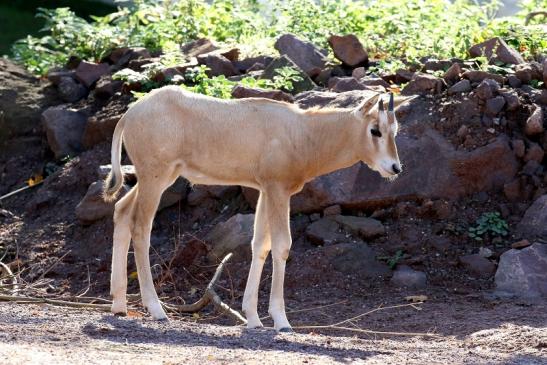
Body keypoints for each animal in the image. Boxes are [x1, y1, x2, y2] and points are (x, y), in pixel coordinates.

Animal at [103, 85, 412, 330]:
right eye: (375, 130)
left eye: (395, 131)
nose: (395, 168)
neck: (303, 132)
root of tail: (130, 114)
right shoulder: (277, 190)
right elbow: (282, 245)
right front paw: (281, 321)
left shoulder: (265, 190)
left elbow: (259, 244)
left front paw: (253, 318)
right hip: (155, 177)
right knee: (140, 226)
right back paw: (156, 309)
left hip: (157, 178)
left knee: (121, 211)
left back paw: (119, 305)